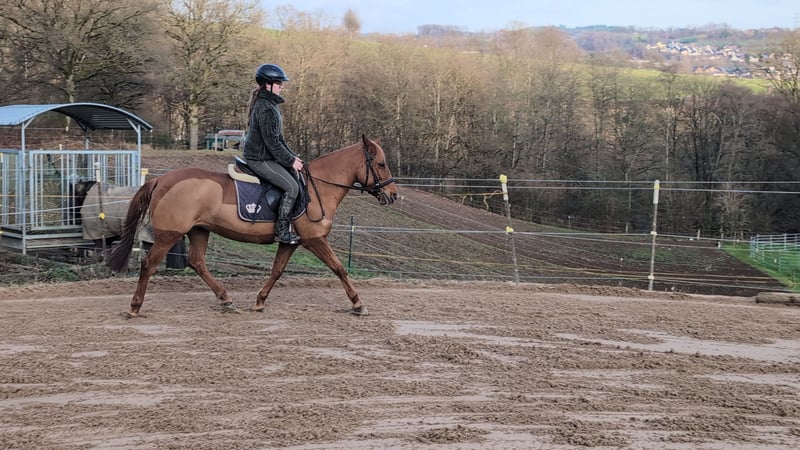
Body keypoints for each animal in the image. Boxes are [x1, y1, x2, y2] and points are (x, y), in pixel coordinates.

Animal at [106, 135, 398, 318]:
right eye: (381, 163)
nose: (393, 195)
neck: (319, 188)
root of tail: (161, 180)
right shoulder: (315, 239)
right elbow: (339, 269)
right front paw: (358, 304)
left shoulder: (290, 242)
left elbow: (277, 271)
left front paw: (259, 302)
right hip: (170, 234)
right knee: (149, 265)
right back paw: (135, 307)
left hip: (199, 230)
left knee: (197, 263)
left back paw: (226, 299)